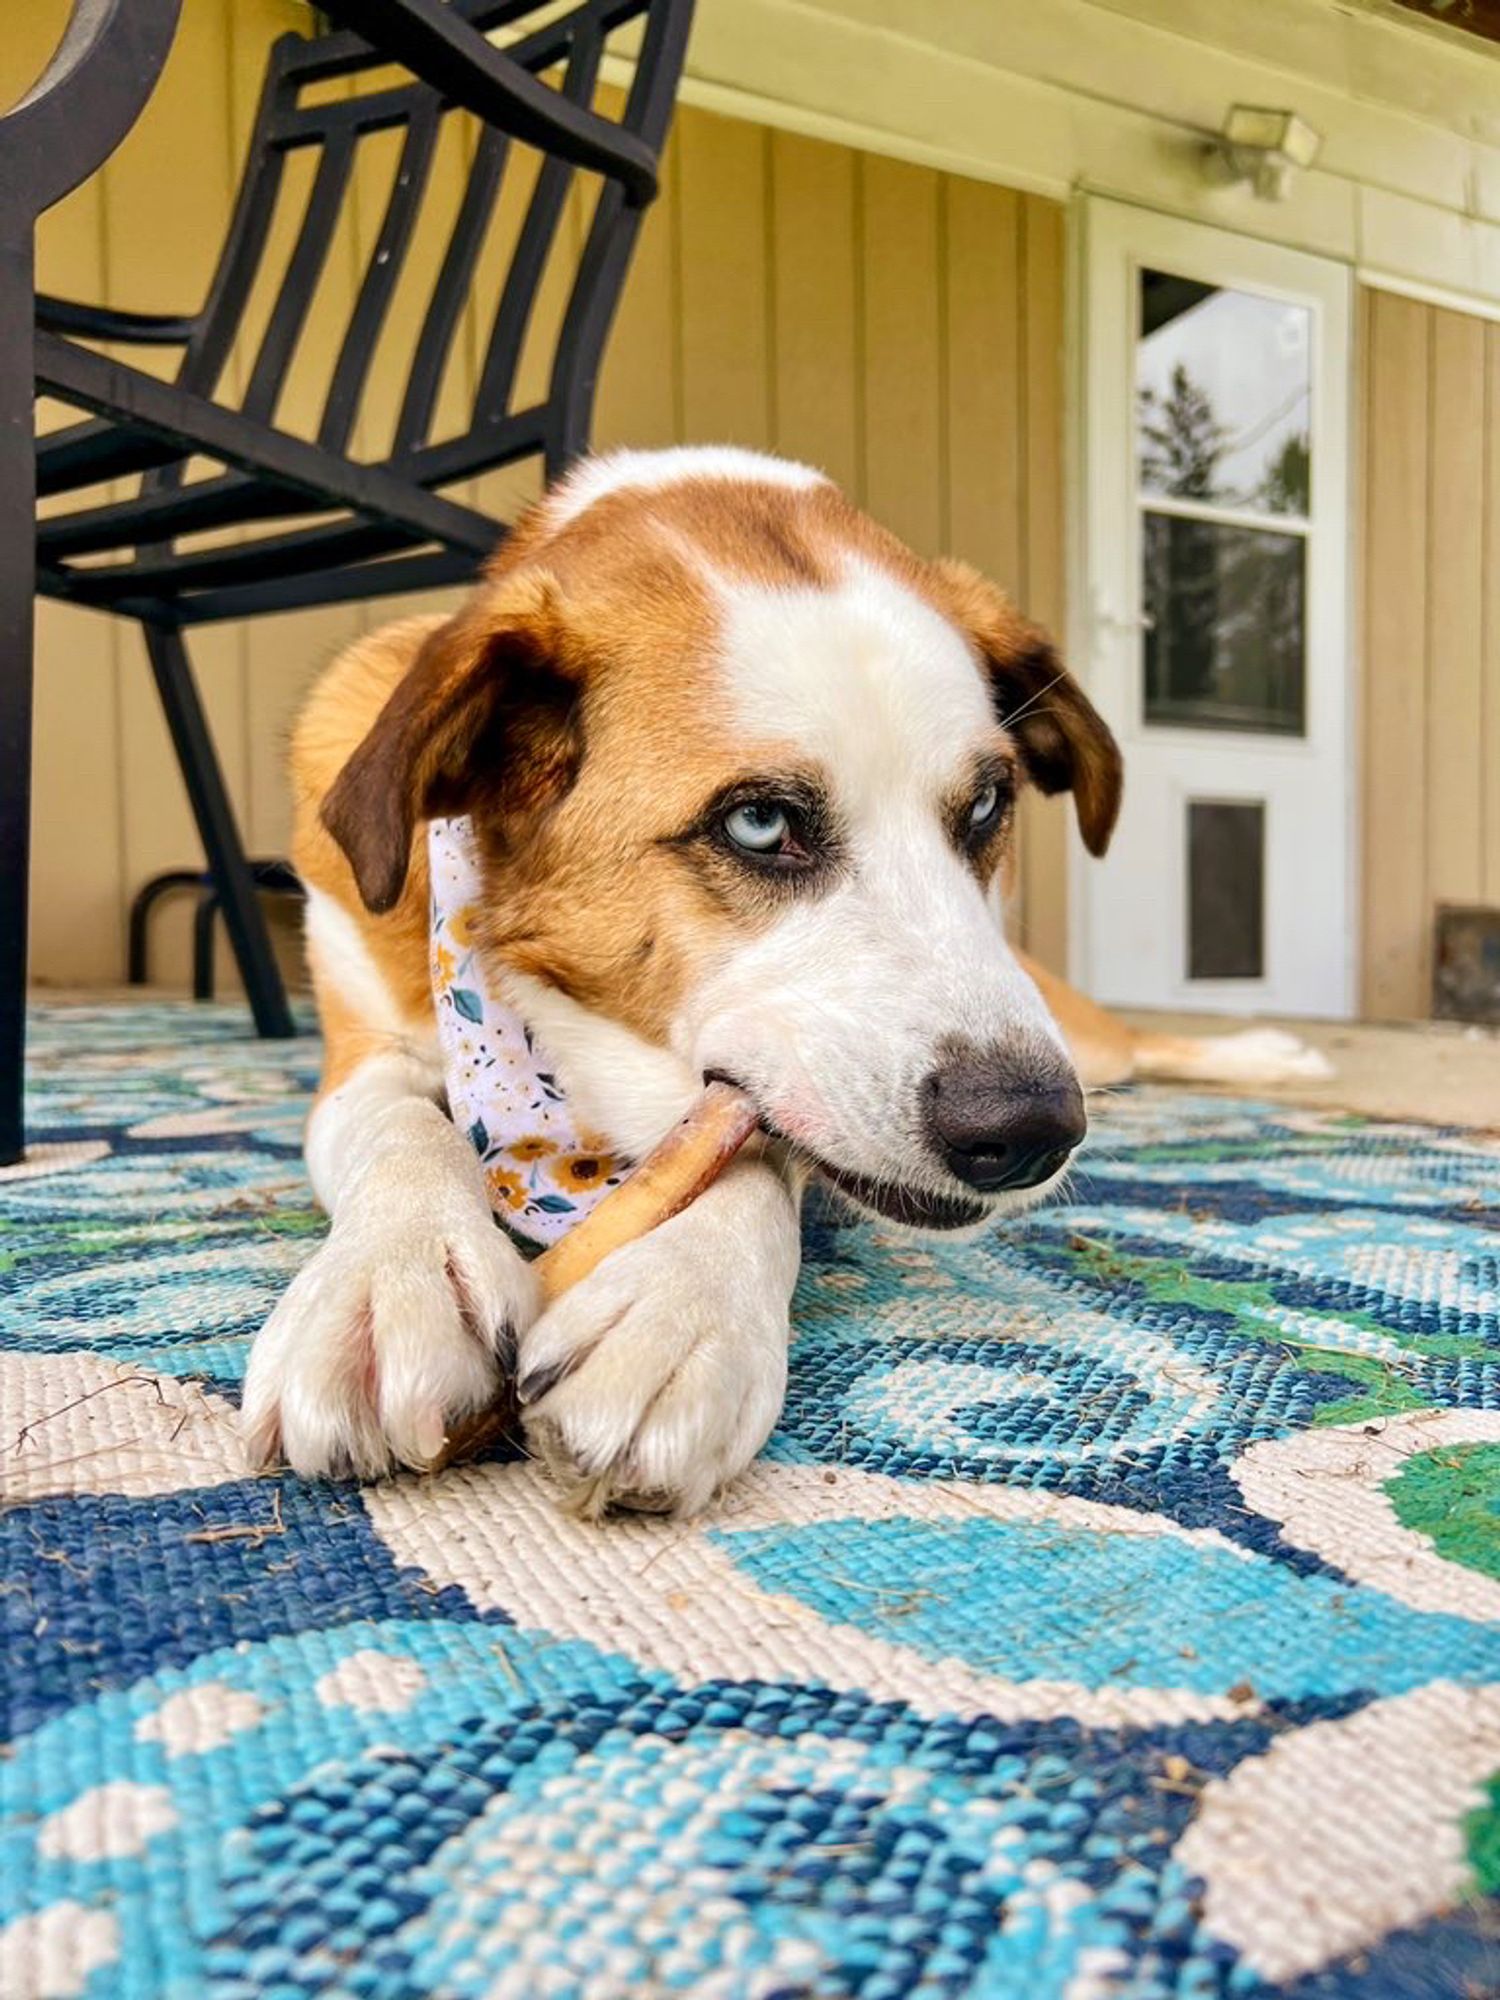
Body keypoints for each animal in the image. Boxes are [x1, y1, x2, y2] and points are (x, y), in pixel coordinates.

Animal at [244, 446, 1328, 1504]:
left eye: (986, 806)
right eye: (761, 823)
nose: (1030, 1131)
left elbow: (759, 1157)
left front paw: (679, 1306)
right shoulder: (363, 1048)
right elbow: (401, 1131)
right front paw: (395, 1286)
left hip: (1081, 1040)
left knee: (1135, 1043)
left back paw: (1275, 1057)